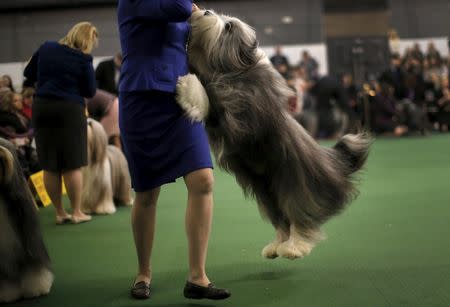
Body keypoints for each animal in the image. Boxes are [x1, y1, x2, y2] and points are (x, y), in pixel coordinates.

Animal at [0, 138, 53, 304]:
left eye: (2, 143)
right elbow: (5, 279)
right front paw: (7, 294)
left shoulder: (28, 241)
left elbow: (33, 268)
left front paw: (37, 287)